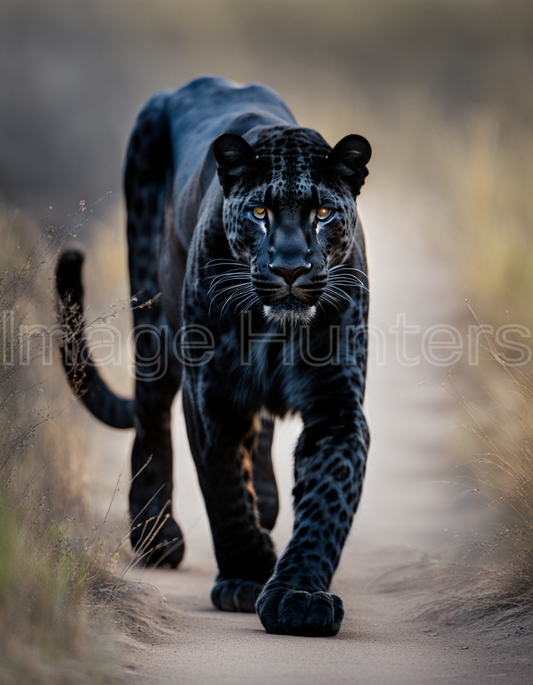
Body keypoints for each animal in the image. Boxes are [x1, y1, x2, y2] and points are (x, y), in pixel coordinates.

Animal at [55, 76, 370, 636]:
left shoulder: (337, 405)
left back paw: (266, 503)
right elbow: (223, 483)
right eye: (260, 213)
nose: (290, 268)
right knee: (151, 415)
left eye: (323, 213)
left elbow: (325, 504)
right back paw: (157, 535)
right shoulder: (211, 393)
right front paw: (247, 576)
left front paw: (298, 596)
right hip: (151, 315)